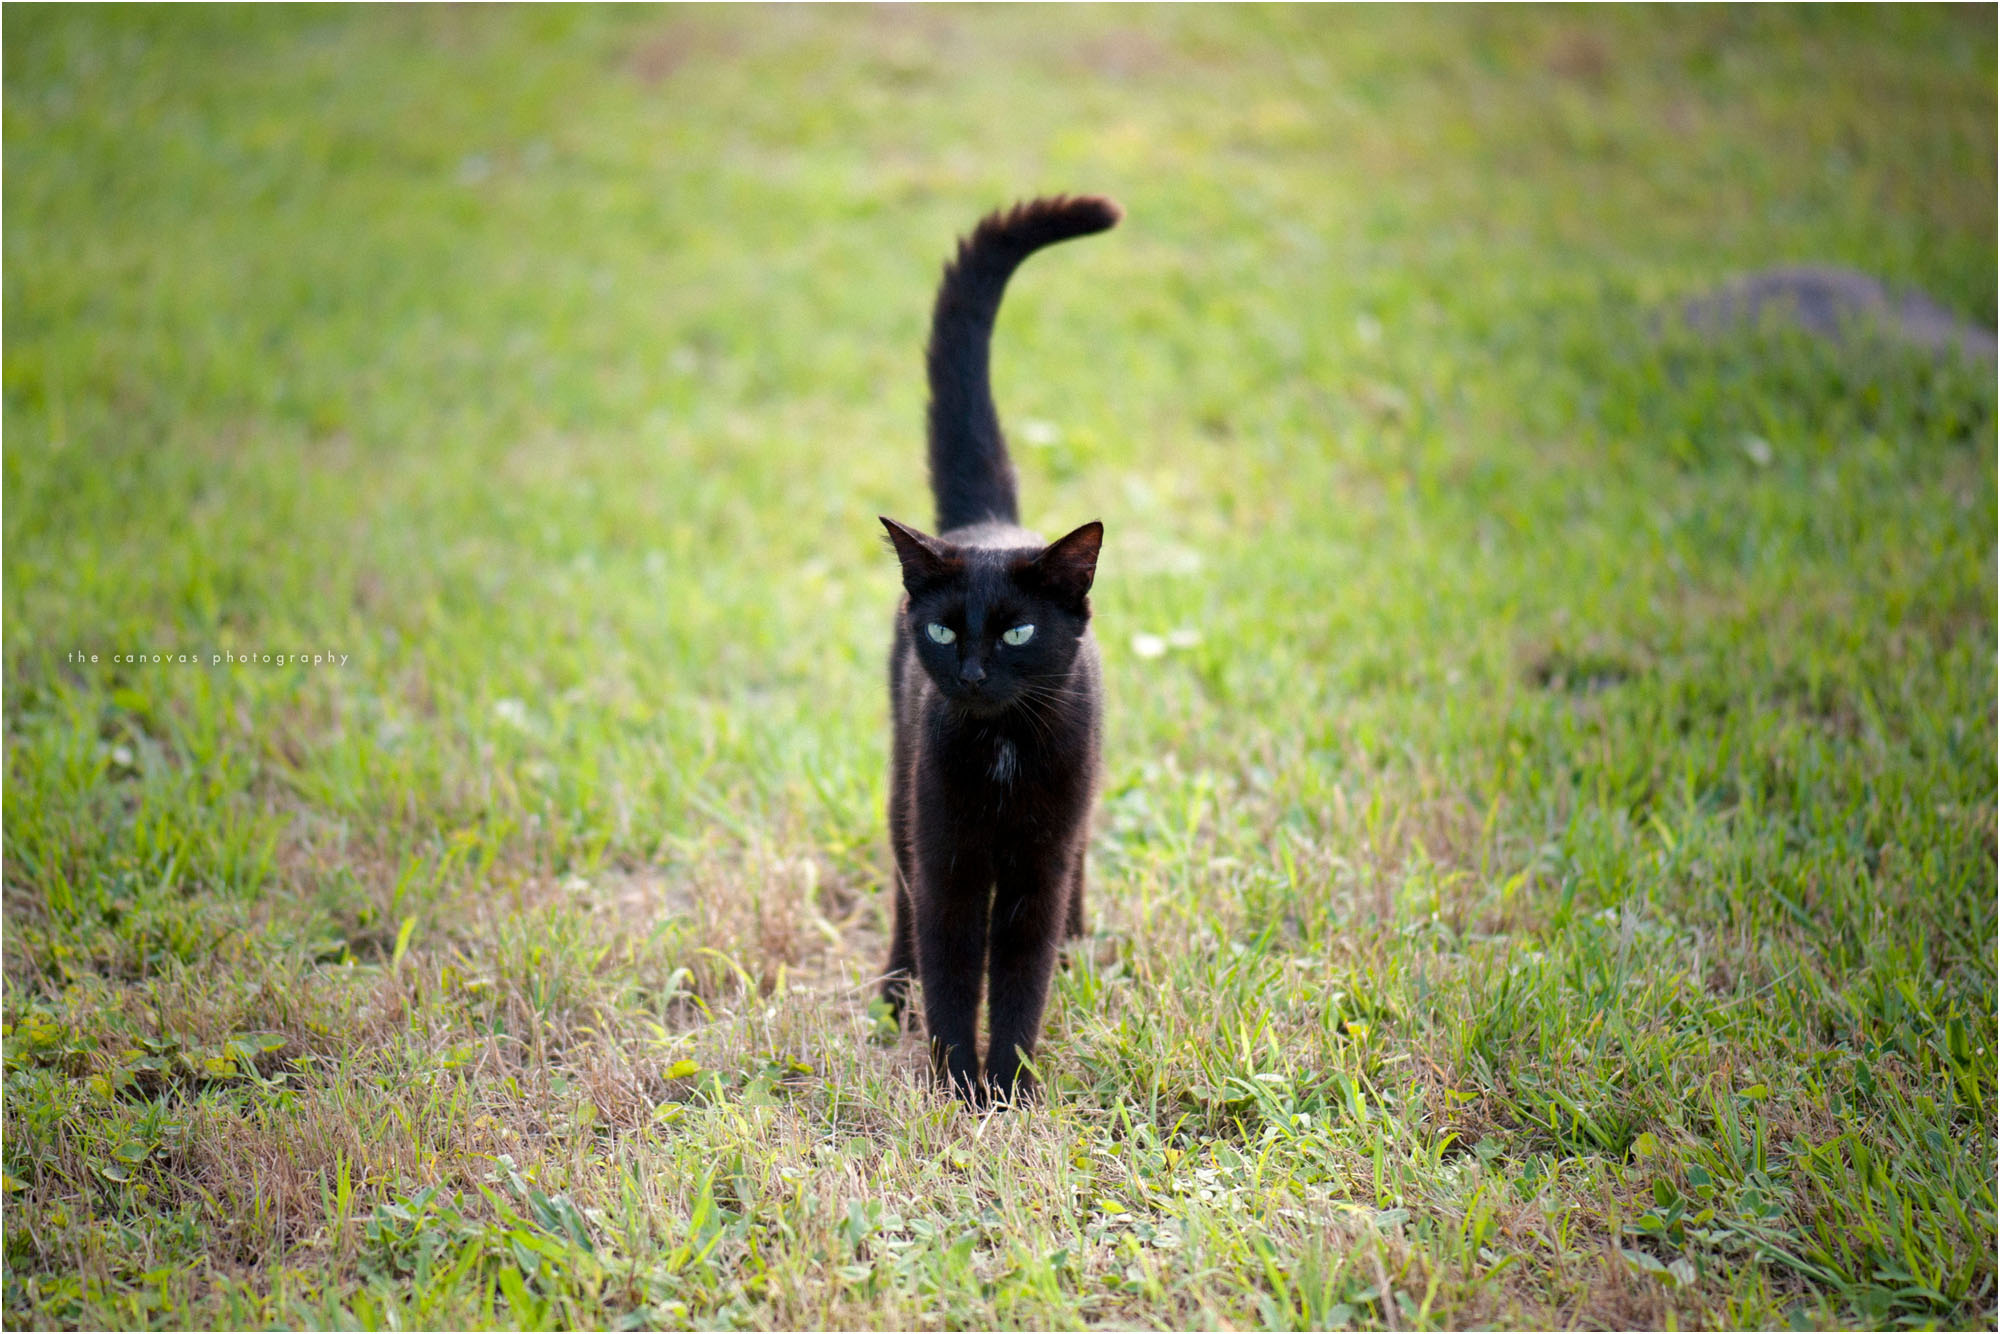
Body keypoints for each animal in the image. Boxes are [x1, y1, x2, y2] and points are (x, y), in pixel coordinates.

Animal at [880, 196, 1128, 1104]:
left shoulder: (1036, 867)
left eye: (1018, 630)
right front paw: (958, 1085)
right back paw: (893, 992)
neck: (1004, 752)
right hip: (902, 781)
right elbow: (955, 971)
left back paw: (1078, 951)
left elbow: (1019, 978)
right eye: (946, 629)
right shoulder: (951, 857)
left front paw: (1009, 1088)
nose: (974, 671)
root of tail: (988, 524)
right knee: (902, 889)